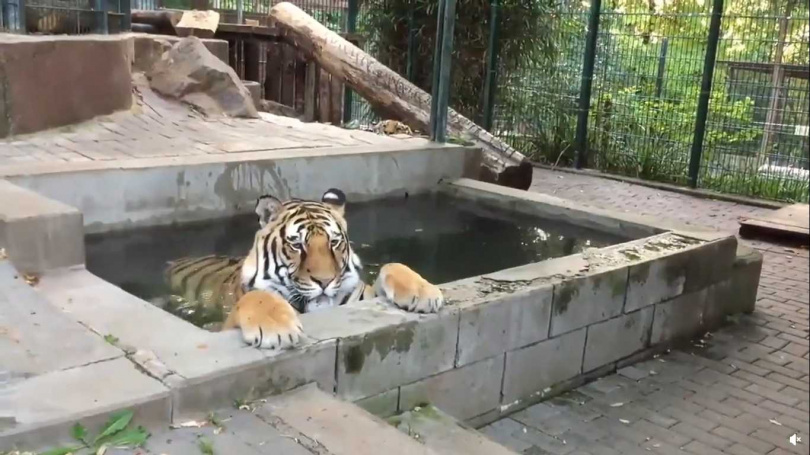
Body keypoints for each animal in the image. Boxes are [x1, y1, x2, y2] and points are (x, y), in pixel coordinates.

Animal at [163, 188, 445, 349]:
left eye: (334, 242)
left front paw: (425, 293)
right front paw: (277, 329)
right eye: (297, 244)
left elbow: (392, 264)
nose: (325, 281)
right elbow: (256, 297)